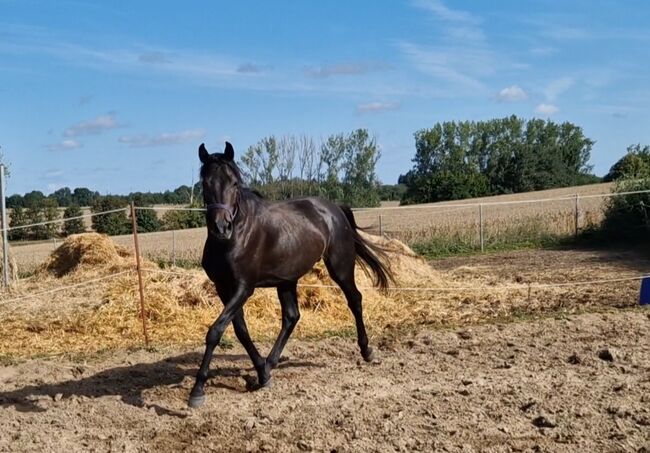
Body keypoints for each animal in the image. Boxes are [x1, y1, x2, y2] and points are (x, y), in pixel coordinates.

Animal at [187, 141, 390, 406]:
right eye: (205, 183)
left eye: (234, 183)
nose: (222, 227)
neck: (233, 238)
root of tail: (334, 208)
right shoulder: (224, 287)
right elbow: (240, 331)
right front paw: (261, 374)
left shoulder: (244, 287)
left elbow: (215, 331)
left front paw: (197, 390)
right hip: (287, 280)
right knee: (292, 317)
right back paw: (270, 364)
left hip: (340, 267)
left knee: (354, 300)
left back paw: (366, 351)